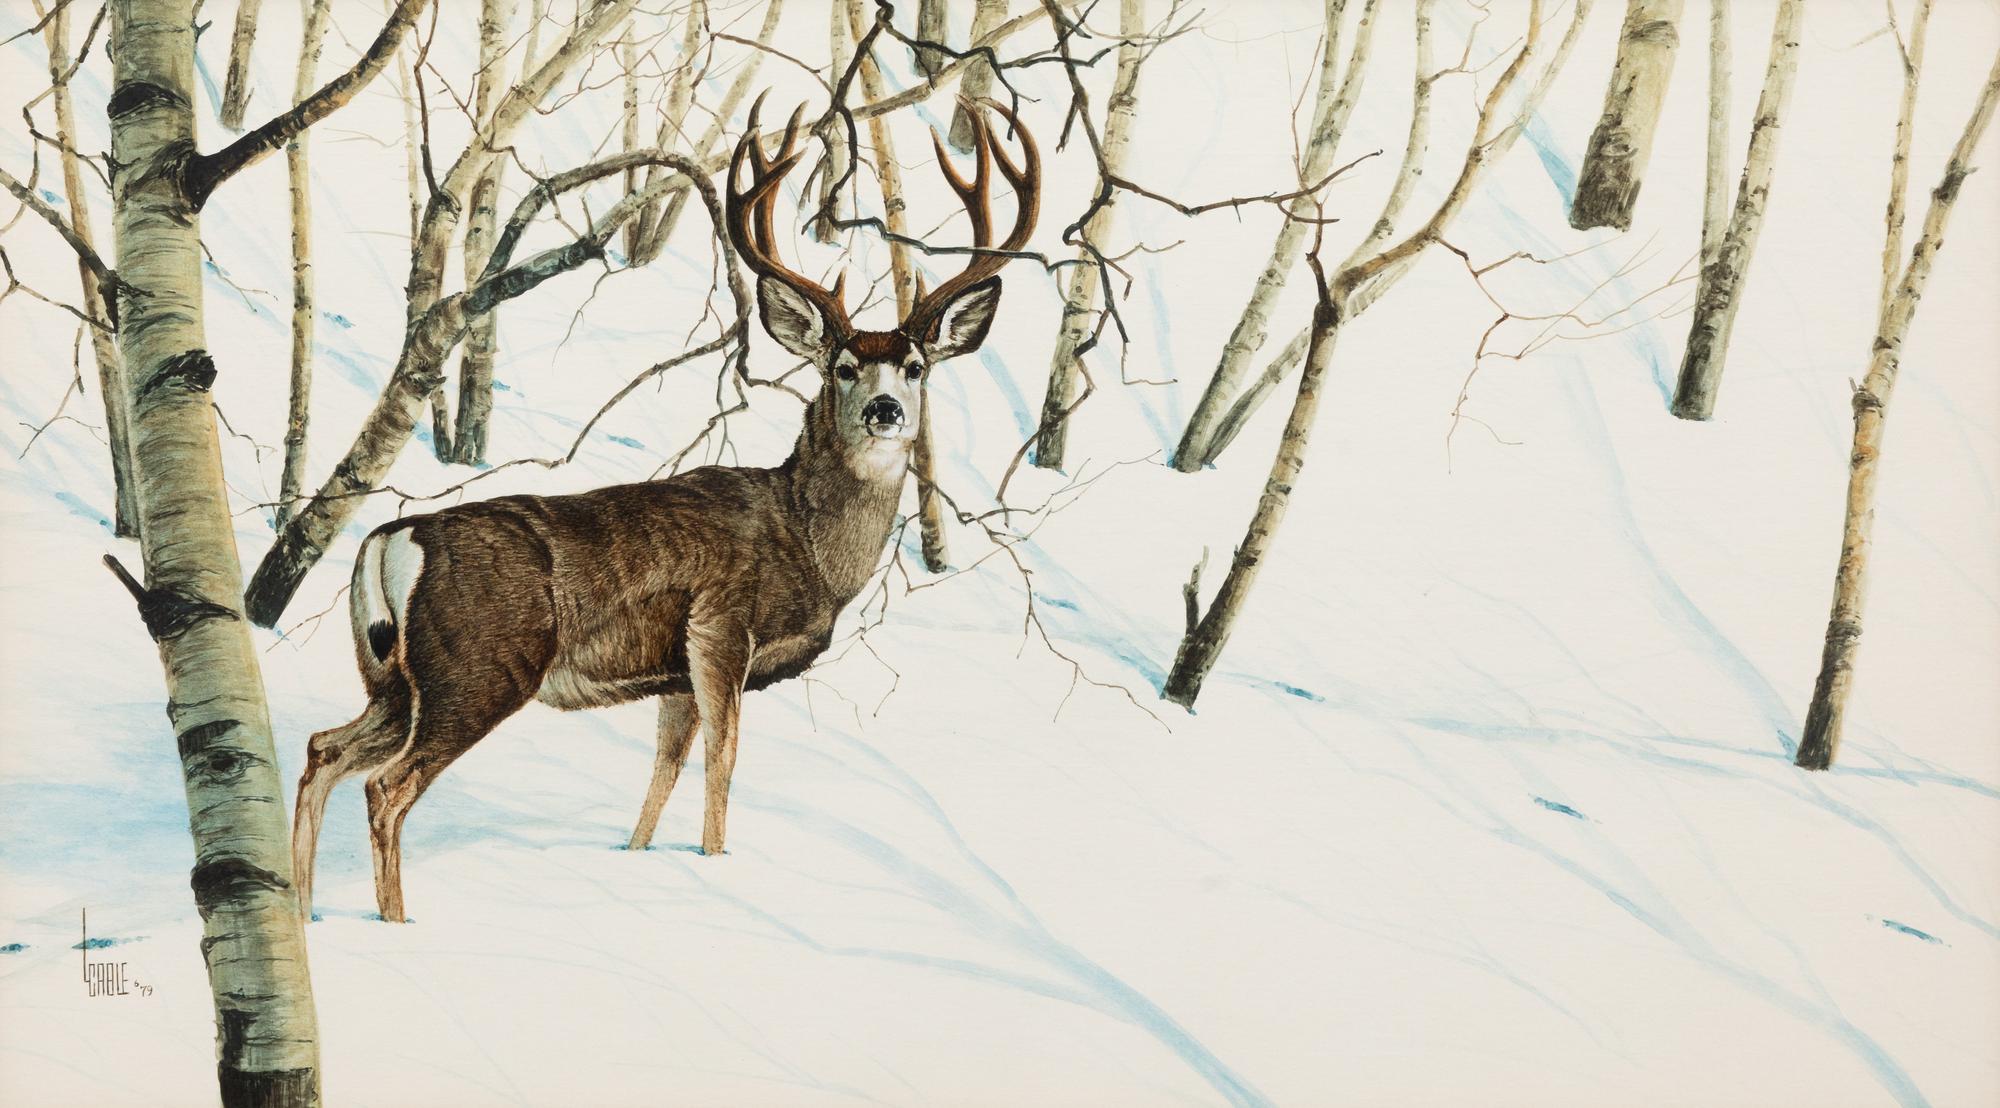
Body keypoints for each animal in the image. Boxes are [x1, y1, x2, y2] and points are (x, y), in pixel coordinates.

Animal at [290, 98, 1040, 922]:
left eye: (913, 366)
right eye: (843, 367)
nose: (884, 410)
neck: (808, 545)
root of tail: (389, 541)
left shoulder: (674, 673)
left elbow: (665, 768)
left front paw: (640, 855)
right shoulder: (720, 627)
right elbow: (723, 758)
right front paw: (716, 861)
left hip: (394, 678)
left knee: (322, 751)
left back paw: (304, 908)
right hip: (477, 668)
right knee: (385, 786)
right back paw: (396, 921)